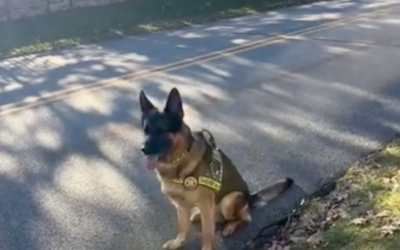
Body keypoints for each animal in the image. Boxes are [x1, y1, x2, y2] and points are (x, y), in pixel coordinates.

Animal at [139, 88, 292, 250]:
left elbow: (207, 233)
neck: (179, 160)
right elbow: (183, 228)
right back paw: (198, 214)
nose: (143, 149)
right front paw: (177, 243)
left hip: (229, 200)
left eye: (162, 130)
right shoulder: (180, 206)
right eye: (146, 131)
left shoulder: (206, 205)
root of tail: (249, 198)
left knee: (244, 218)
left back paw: (230, 225)